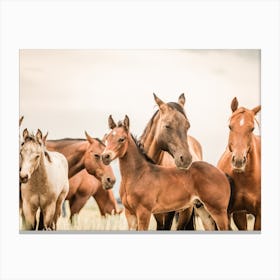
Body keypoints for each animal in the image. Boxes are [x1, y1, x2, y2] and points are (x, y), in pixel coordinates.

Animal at [101, 115, 231, 231]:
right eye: (107, 138)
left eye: (122, 139)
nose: (105, 156)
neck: (138, 175)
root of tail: (222, 173)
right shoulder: (130, 214)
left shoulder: (144, 212)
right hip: (202, 209)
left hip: (218, 211)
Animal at [140, 93, 208, 230]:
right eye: (167, 126)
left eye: (187, 126)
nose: (186, 159)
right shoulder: (156, 214)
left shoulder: (170, 213)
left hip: (186, 212)